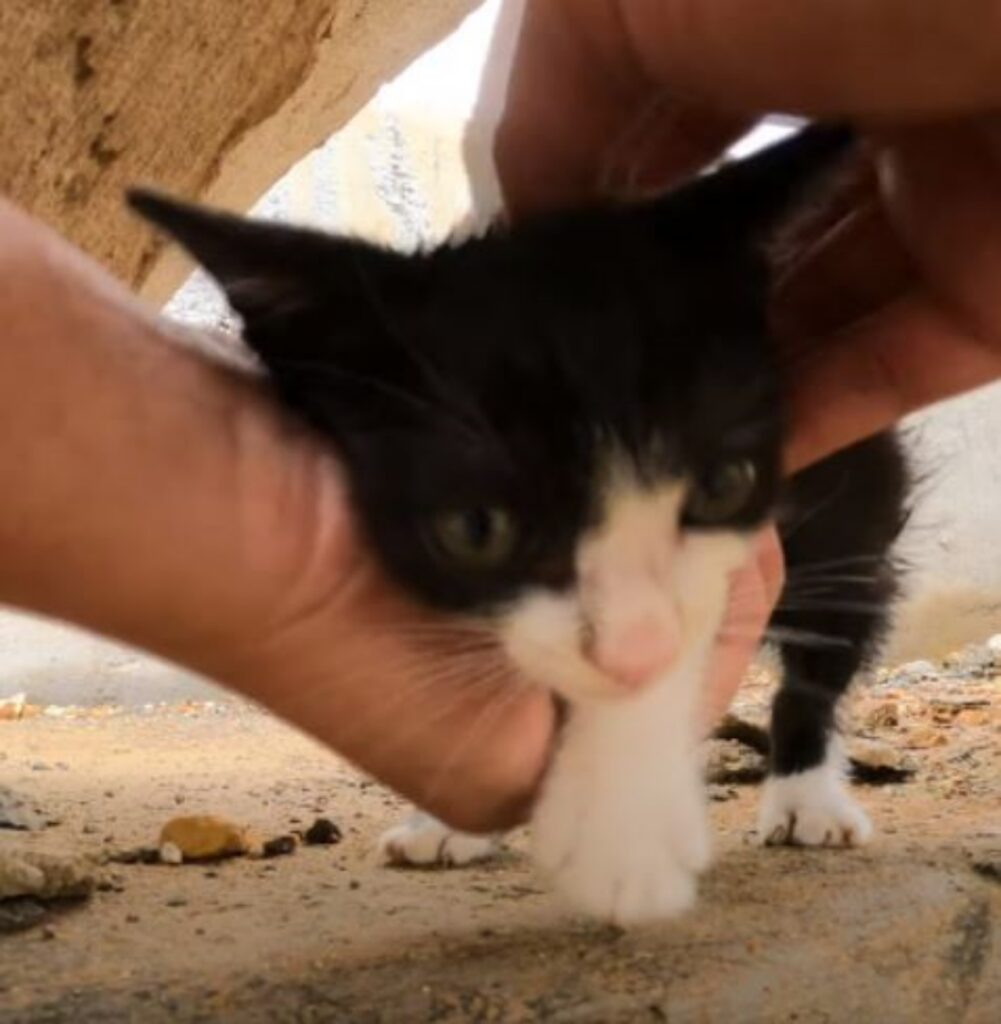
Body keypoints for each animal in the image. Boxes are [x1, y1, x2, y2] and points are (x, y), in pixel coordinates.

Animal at [128, 123, 908, 925]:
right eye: (476, 528)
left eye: (724, 484)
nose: (631, 651)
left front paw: (624, 825)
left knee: (837, 627)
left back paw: (806, 794)